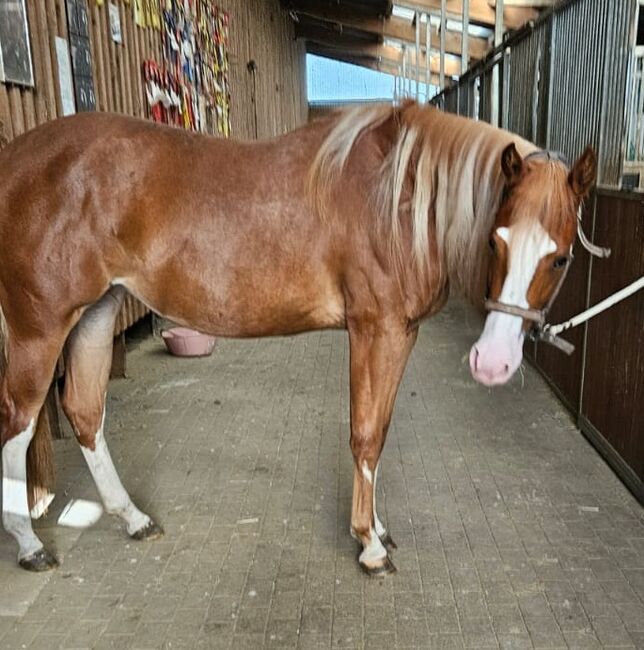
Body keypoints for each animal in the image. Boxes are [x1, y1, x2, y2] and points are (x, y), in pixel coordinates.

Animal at [0, 100, 596, 572]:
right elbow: (365, 435)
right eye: (496, 242)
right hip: (40, 328)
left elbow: (380, 431)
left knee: (84, 411)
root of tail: (15, 157)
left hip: (96, 313)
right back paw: (30, 545)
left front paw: (378, 530)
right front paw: (368, 545)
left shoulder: (400, 333)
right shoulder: (374, 329)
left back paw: (133, 518)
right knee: (19, 424)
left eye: (561, 256)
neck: (399, 201)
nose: (492, 363)